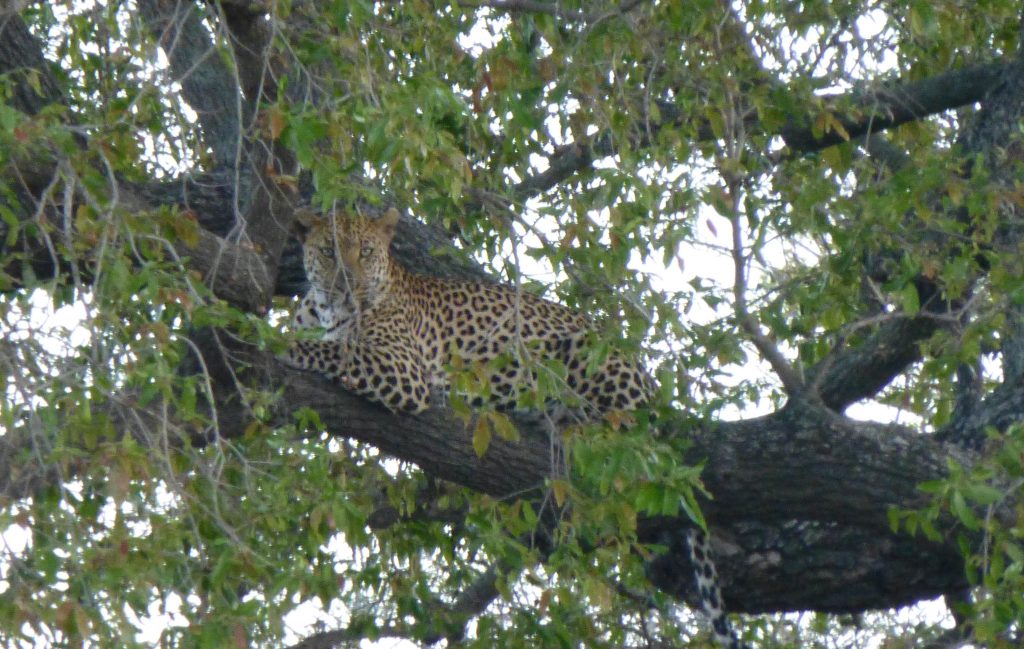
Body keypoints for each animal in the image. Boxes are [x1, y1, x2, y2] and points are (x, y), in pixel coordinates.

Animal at [285, 207, 747, 649]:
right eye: (328, 251)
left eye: (365, 252)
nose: (347, 286)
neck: (329, 309)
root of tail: (654, 389)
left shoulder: (403, 369)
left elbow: (331, 350)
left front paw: (277, 345)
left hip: (587, 356)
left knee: (627, 431)